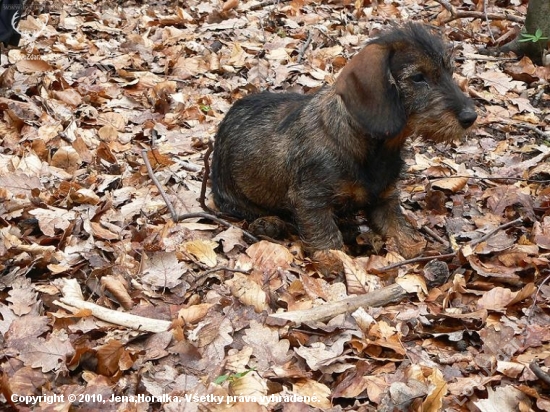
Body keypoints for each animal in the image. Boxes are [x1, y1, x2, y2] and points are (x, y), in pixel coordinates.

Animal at [211, 22, 478, 258]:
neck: (376, 151)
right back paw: (269, 224)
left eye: (450, 72)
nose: (471, 117)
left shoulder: (385, 200)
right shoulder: (312, 201)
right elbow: (328, 242)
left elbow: (402, 234)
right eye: (418, 77)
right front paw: (334, 263)